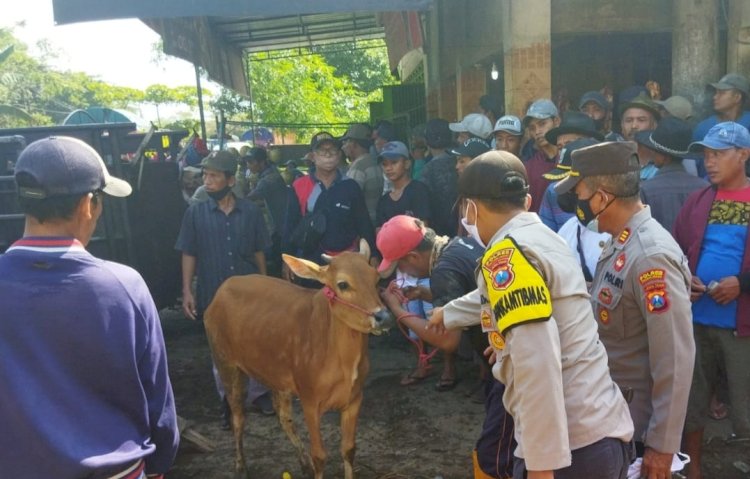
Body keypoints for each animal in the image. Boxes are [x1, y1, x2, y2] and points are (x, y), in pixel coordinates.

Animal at [206, 242, 394, 479]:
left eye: (376, 279)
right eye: (342, 284)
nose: (383, 318)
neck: (343, 363)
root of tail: (223, 287)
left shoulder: (355, 398)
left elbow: (349, 449)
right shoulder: (309, 400)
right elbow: (320, 456)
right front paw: (314, 462)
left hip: (276, 374)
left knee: (283, 416)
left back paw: (303, 463)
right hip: (226, 363)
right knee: (238, 417)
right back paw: (241, 467)